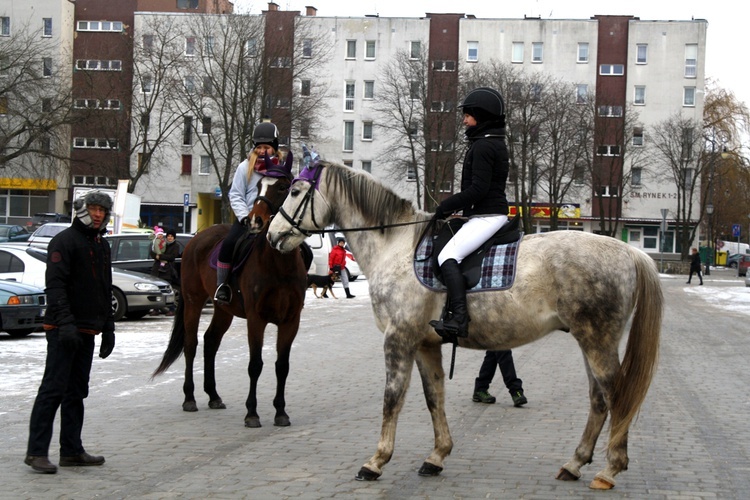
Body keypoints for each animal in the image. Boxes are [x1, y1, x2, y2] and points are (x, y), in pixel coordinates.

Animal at [153, 158, 308, 428]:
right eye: (258, 187)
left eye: (283, 187)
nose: (255, 221)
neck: (279, 264)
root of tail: (195, 239)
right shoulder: (256, 319)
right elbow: (255, 364)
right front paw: (252, 413)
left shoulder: (291, 320)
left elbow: (282, 366)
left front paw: (280, 412)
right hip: (193, 302)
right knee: (191, 344)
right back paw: (190, 398)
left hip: (223, 309)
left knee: (211, 341)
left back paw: (213, 395)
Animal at [266, 160, 664, 488]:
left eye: (296, 192)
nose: (272, 235)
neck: (396, 246)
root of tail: (630, 251)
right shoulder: (425, 344)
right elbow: (433, 397)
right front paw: (437, 455)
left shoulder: (399, 339)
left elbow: (392, 399)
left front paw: (376, 462)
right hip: (590, 340)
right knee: (598, 399)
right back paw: (575, 463)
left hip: (597, 340)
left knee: (615, 396)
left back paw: (609, 469)